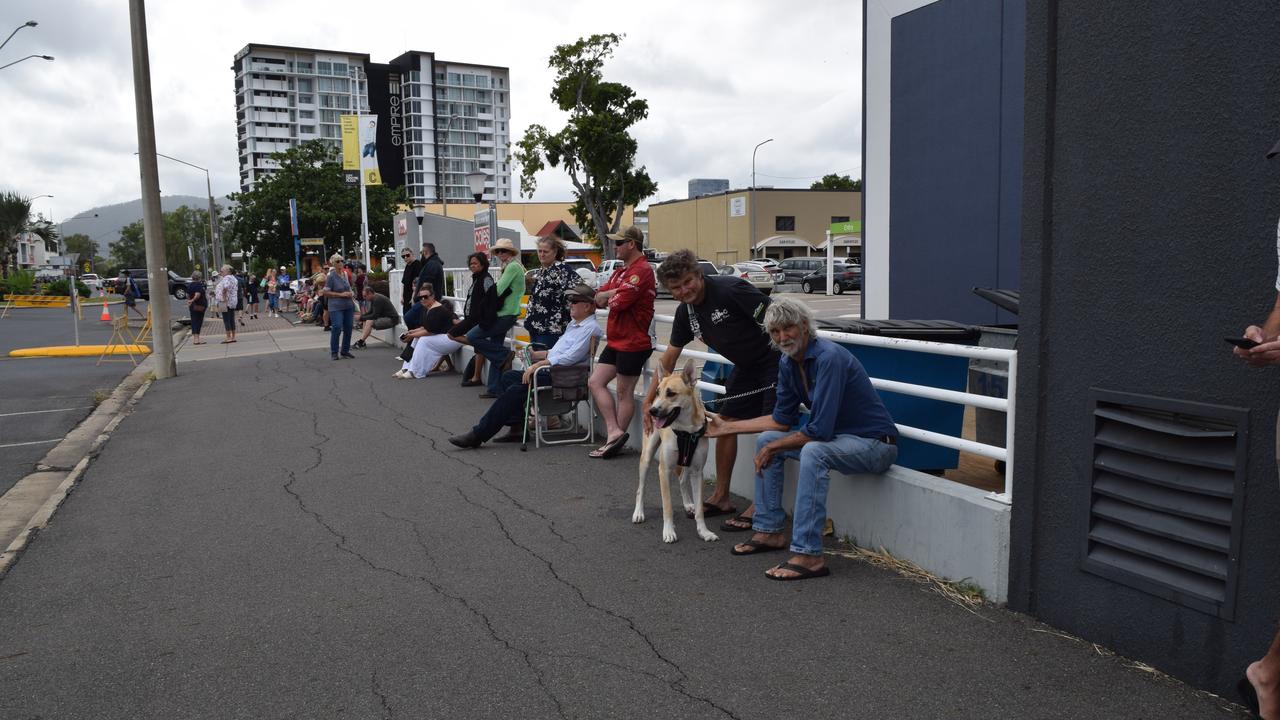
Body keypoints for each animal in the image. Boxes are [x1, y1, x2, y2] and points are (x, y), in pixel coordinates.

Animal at [632, 361, 716, 540]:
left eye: (671, 393)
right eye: (658, 392)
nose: (652, 411)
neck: (686, 430)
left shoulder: (698, 471)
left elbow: (700, 509)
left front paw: (704, 531)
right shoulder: (664, 470)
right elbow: (667, 506)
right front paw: (669, 531)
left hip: (687, 461)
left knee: (683, 480)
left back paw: (688, 504)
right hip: (646, 458)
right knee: (640, 488)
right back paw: (638, 513)